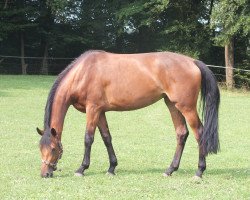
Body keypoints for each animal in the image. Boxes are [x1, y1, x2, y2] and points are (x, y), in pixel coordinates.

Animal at [36, 50, 220, 178]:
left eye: (53, 149)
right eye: (40, 148)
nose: (45, 174)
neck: (83, 73)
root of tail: (192, 61)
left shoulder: (93, 109)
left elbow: (88, 139)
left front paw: (81, 169)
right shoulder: (100, 112)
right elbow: (106, 138)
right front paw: (112, 168)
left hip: (186, 107)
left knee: (199, 133)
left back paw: (199, 172)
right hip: (172, 104)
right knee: (182, 134)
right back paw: (170, 170)